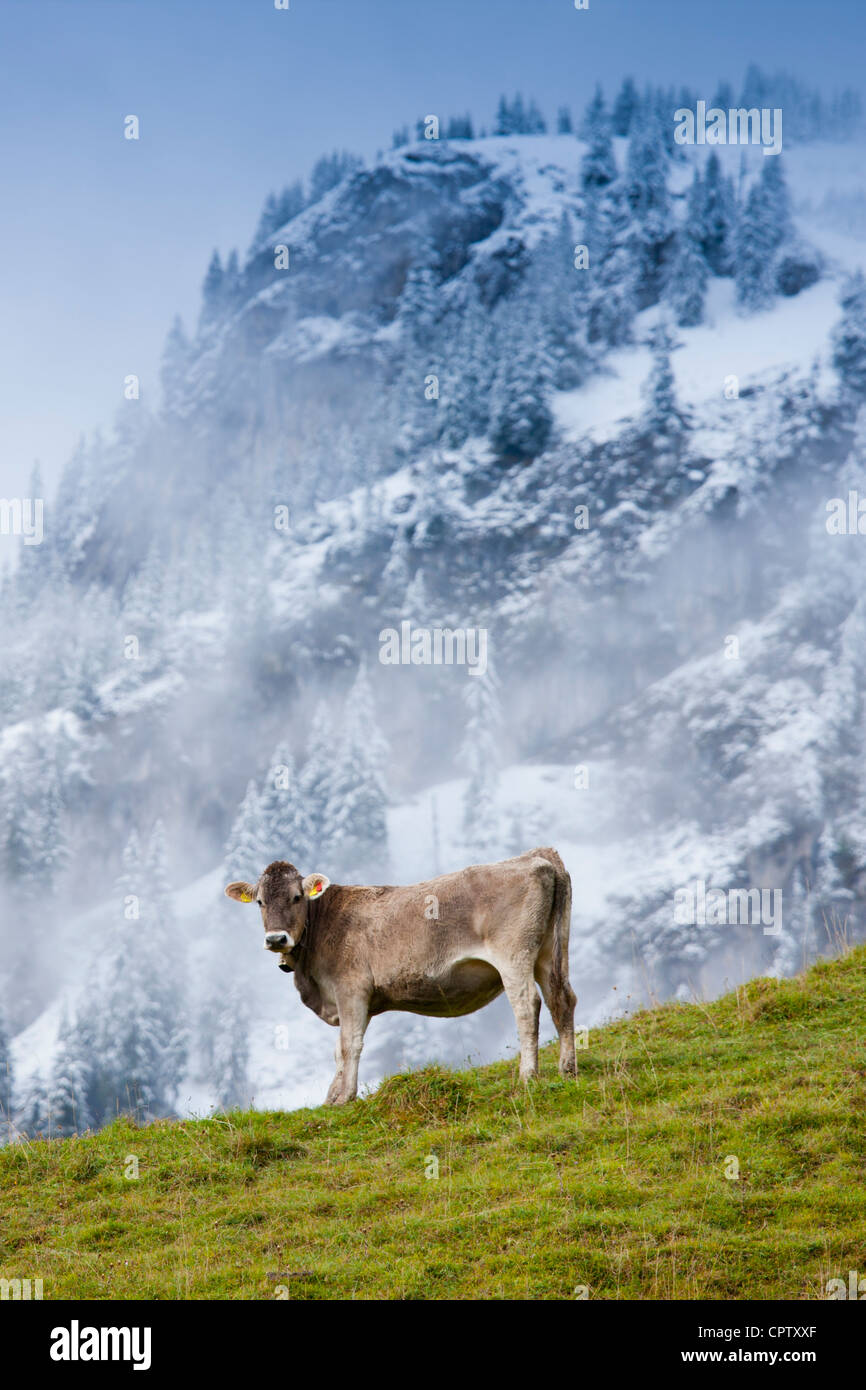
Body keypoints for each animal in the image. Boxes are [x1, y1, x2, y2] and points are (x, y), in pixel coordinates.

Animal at [225, 845, 575, 1106]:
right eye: (260, 902)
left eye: (296, 897)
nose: (276, 939)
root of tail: (537, 857)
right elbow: (339, 1049)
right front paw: (331, 1098)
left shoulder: (351, 989)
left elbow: (348, 1045)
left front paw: (345, 1097)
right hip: (549, 953)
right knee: (562, 999)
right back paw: (567, 1069)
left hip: (513, 955)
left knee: (527, 1006)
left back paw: (528, 1075)